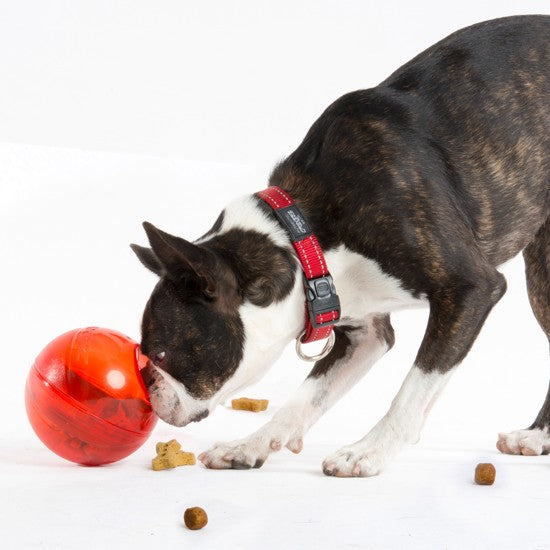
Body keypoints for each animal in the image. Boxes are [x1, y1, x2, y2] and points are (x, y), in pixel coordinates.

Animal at [132, 15, 548, 476]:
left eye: (162, 353)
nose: (147, 388)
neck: (303, 235)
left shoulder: (469, 289)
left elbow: (413, 388)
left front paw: (370, 450)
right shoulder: (364, 331)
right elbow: (306, 397)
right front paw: (250, 444)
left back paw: (536, 437)